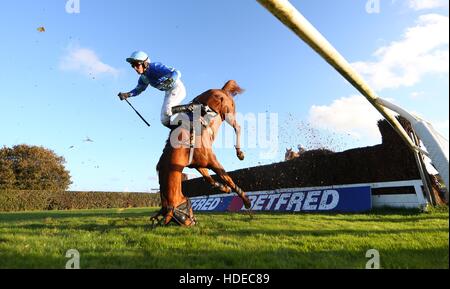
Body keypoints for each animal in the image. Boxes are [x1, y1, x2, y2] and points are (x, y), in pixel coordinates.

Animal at [151, 80, 250, 225]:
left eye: (181, 217)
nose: (192, 222)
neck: (184, 145)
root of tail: (222, 89)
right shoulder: (198, 164)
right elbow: (210, 180)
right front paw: (224, 188)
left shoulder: (212, 161)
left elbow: (227, 178)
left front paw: (246, 201)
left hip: (228, 113)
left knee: (237, 127)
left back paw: (240, 153)